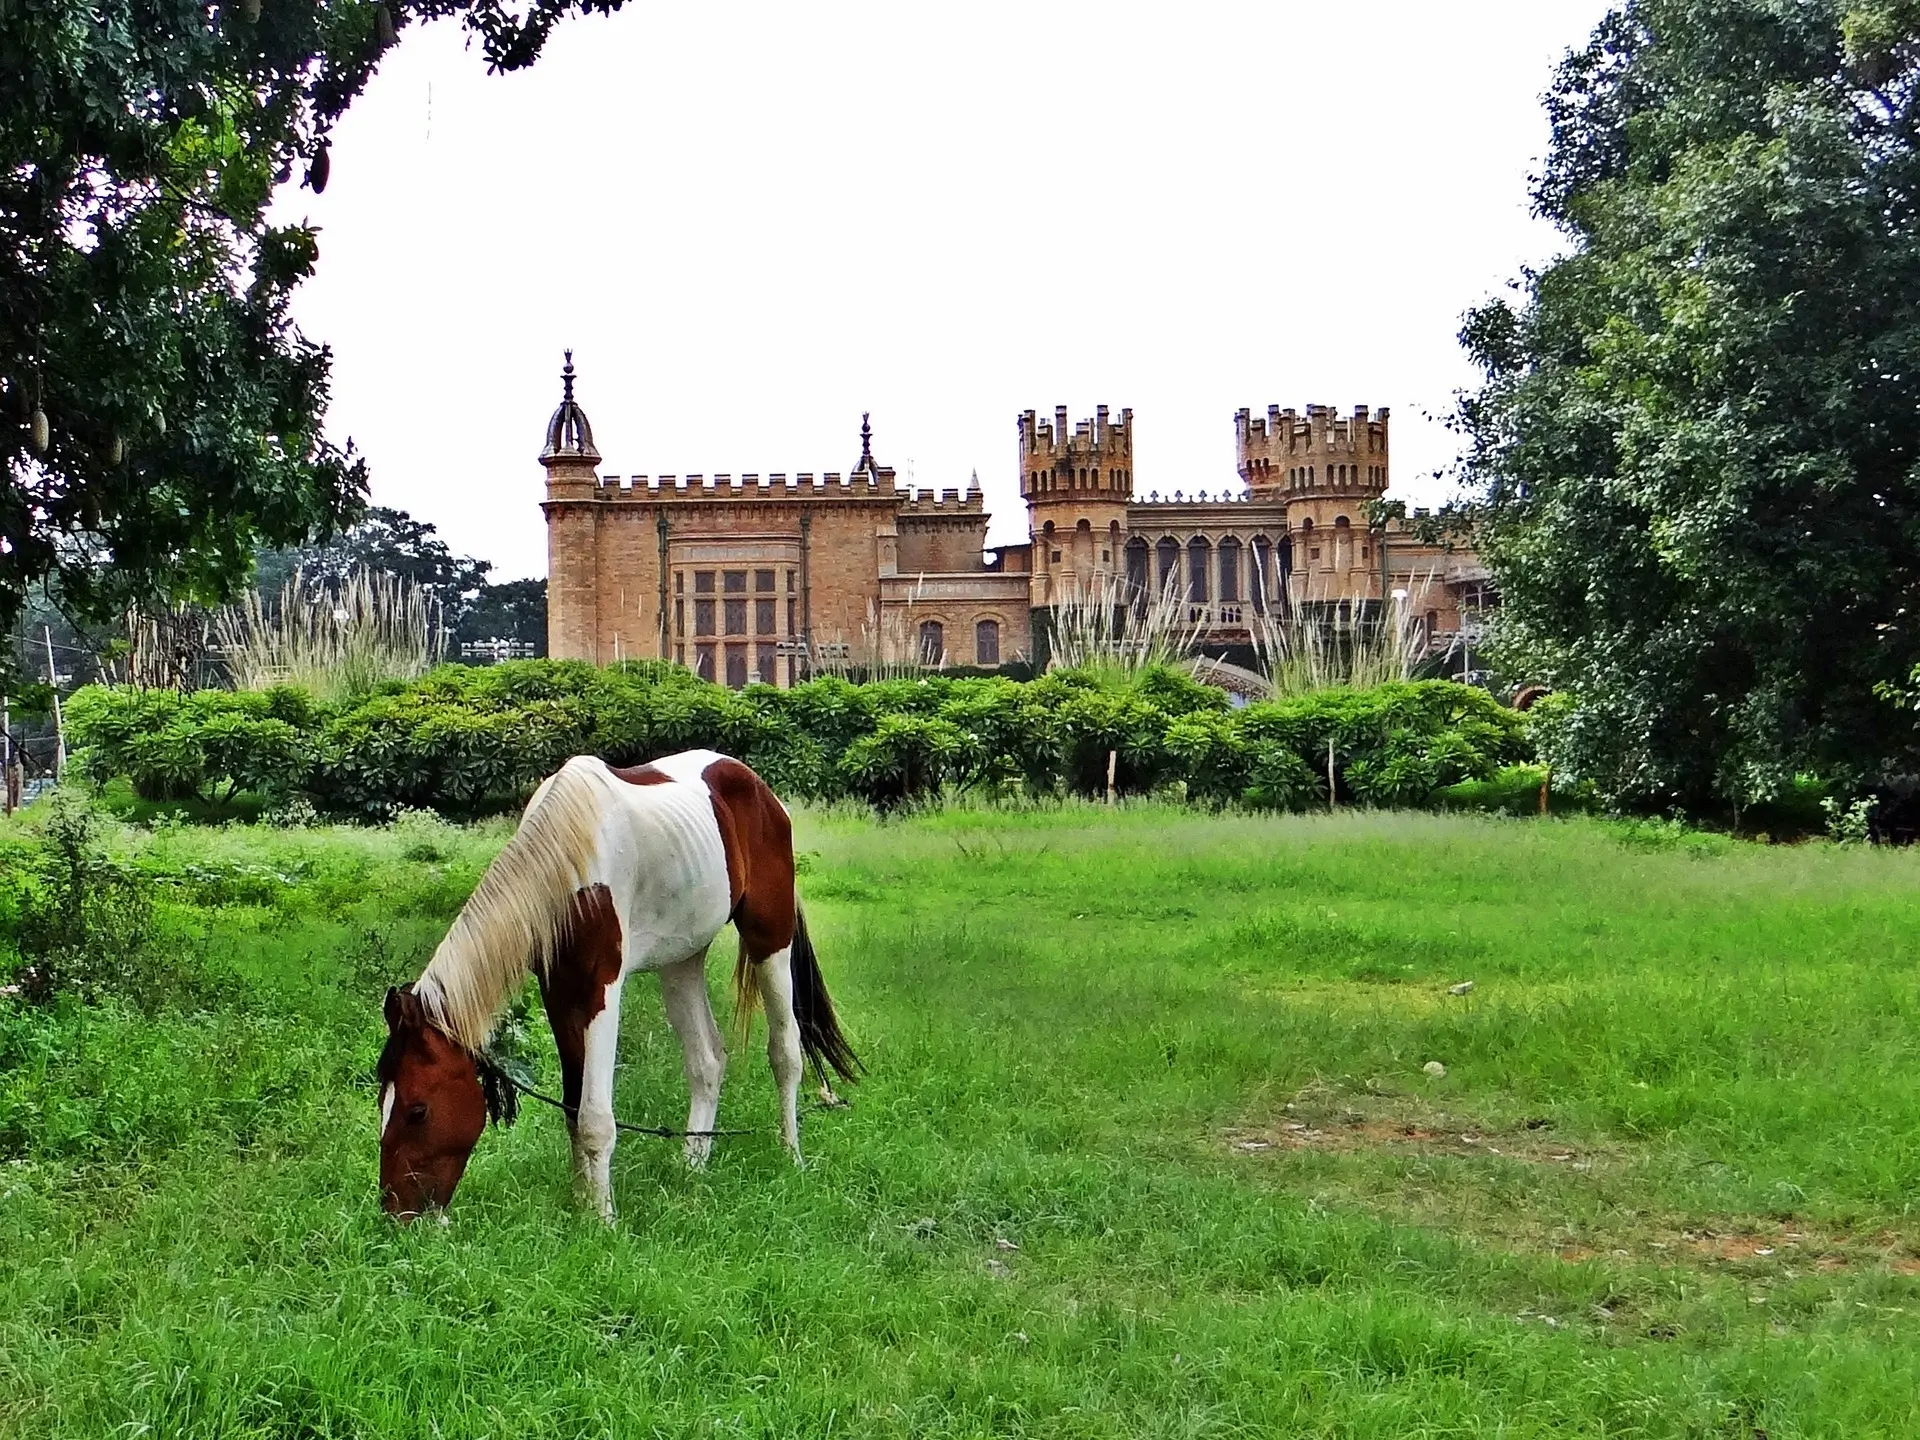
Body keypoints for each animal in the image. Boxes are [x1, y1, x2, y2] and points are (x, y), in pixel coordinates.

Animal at [374, 748, 856, 1221]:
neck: (568, 869)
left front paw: (603, 1218)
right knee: (707, 1060)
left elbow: (595, 1116)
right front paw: (582, 1204)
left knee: (785, 1050)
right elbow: (572, 1106)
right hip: (682, 957)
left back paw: (790, 1155)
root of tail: (759, 789)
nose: (398, 1213)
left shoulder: (600, 988)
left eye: (417, 1111)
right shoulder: (557, 991)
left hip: (769, 935)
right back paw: (692, 1166)